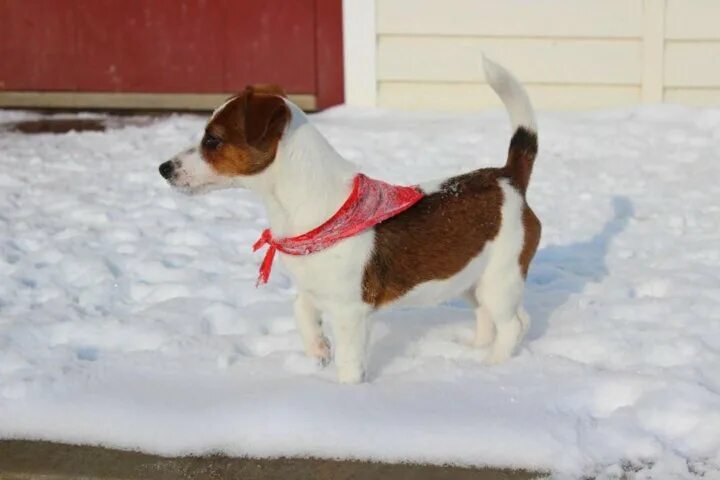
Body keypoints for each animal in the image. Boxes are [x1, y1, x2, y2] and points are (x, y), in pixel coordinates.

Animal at [159, 59, 540, 382]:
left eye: (213, 140)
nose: (163, 168)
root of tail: (507, 176)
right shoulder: (313, 288)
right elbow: (300, 309)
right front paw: (317, 349)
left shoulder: (351, 311)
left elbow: (350, 363)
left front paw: (346, 392)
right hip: (471, 280)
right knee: (503, 319)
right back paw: (473, 353)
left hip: (500, 278)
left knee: (512, 326)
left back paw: (491, 368)